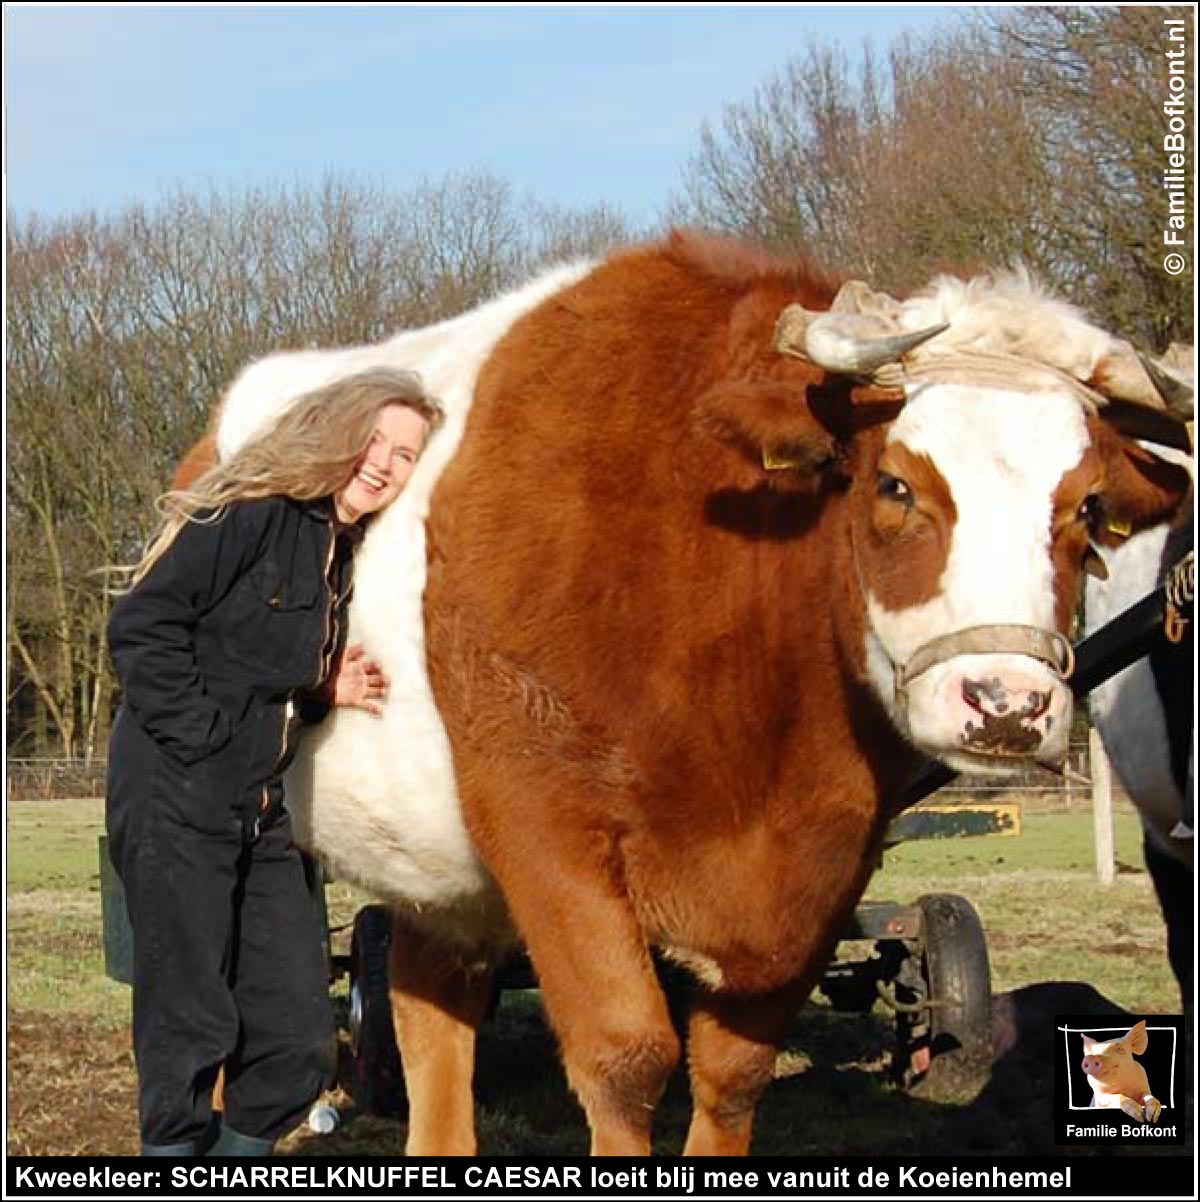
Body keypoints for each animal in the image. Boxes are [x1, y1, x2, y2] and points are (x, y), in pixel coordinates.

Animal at [182, 231, 1187, 1153]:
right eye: (896, 485)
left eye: (1088, 509)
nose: (1007, 705)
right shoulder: (545, 831)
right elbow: (626, 1058)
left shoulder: (825, 864)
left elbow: (734, 1072)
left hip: (435, 874)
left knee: (431, 1005)